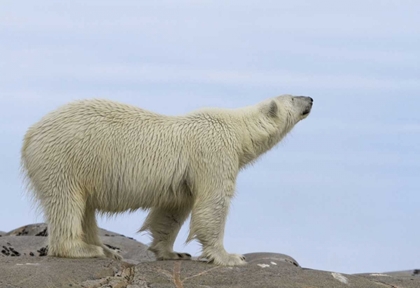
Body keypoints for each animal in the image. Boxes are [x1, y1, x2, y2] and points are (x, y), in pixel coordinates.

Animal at [21, 94, 314, 266]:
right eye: (293, 97)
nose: (310, 98)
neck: (236, 128)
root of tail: (30, 134)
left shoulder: (183, 179)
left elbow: (172, 210)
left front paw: (172, 252)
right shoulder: (213, 153)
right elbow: (213, 204)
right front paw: (230, 256)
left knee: (85, 208)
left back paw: (107, 249)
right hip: (66, 159)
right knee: (66, 202)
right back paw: (83, 250)